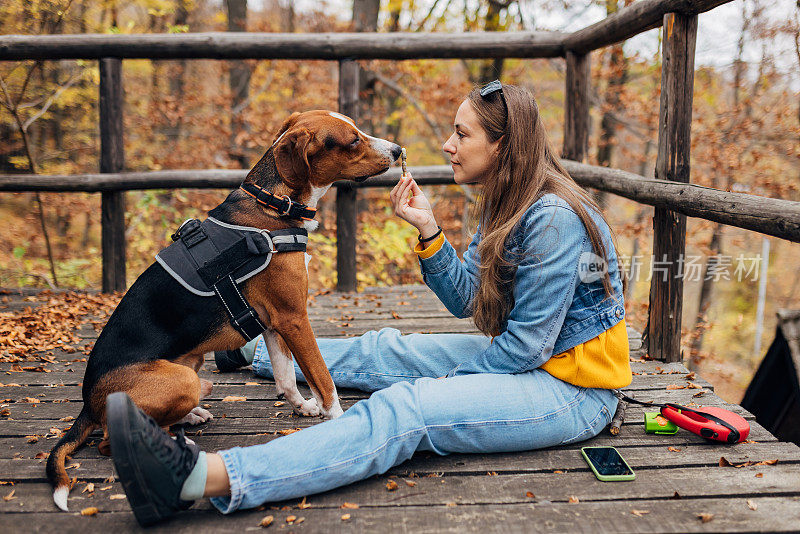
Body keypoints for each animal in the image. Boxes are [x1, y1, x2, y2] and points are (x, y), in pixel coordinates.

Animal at [47, 110, 404, 516]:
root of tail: (88, 402)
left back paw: (191, 416)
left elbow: (286, 377)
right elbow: (323, 380)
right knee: (109, 441)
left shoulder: (273, 324)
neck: (274, 204)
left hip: (194, 366)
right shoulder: (294, 319)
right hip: (185, 380)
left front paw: (301, 407)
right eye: (353, 140)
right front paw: (339, 421)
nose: (397, 150)